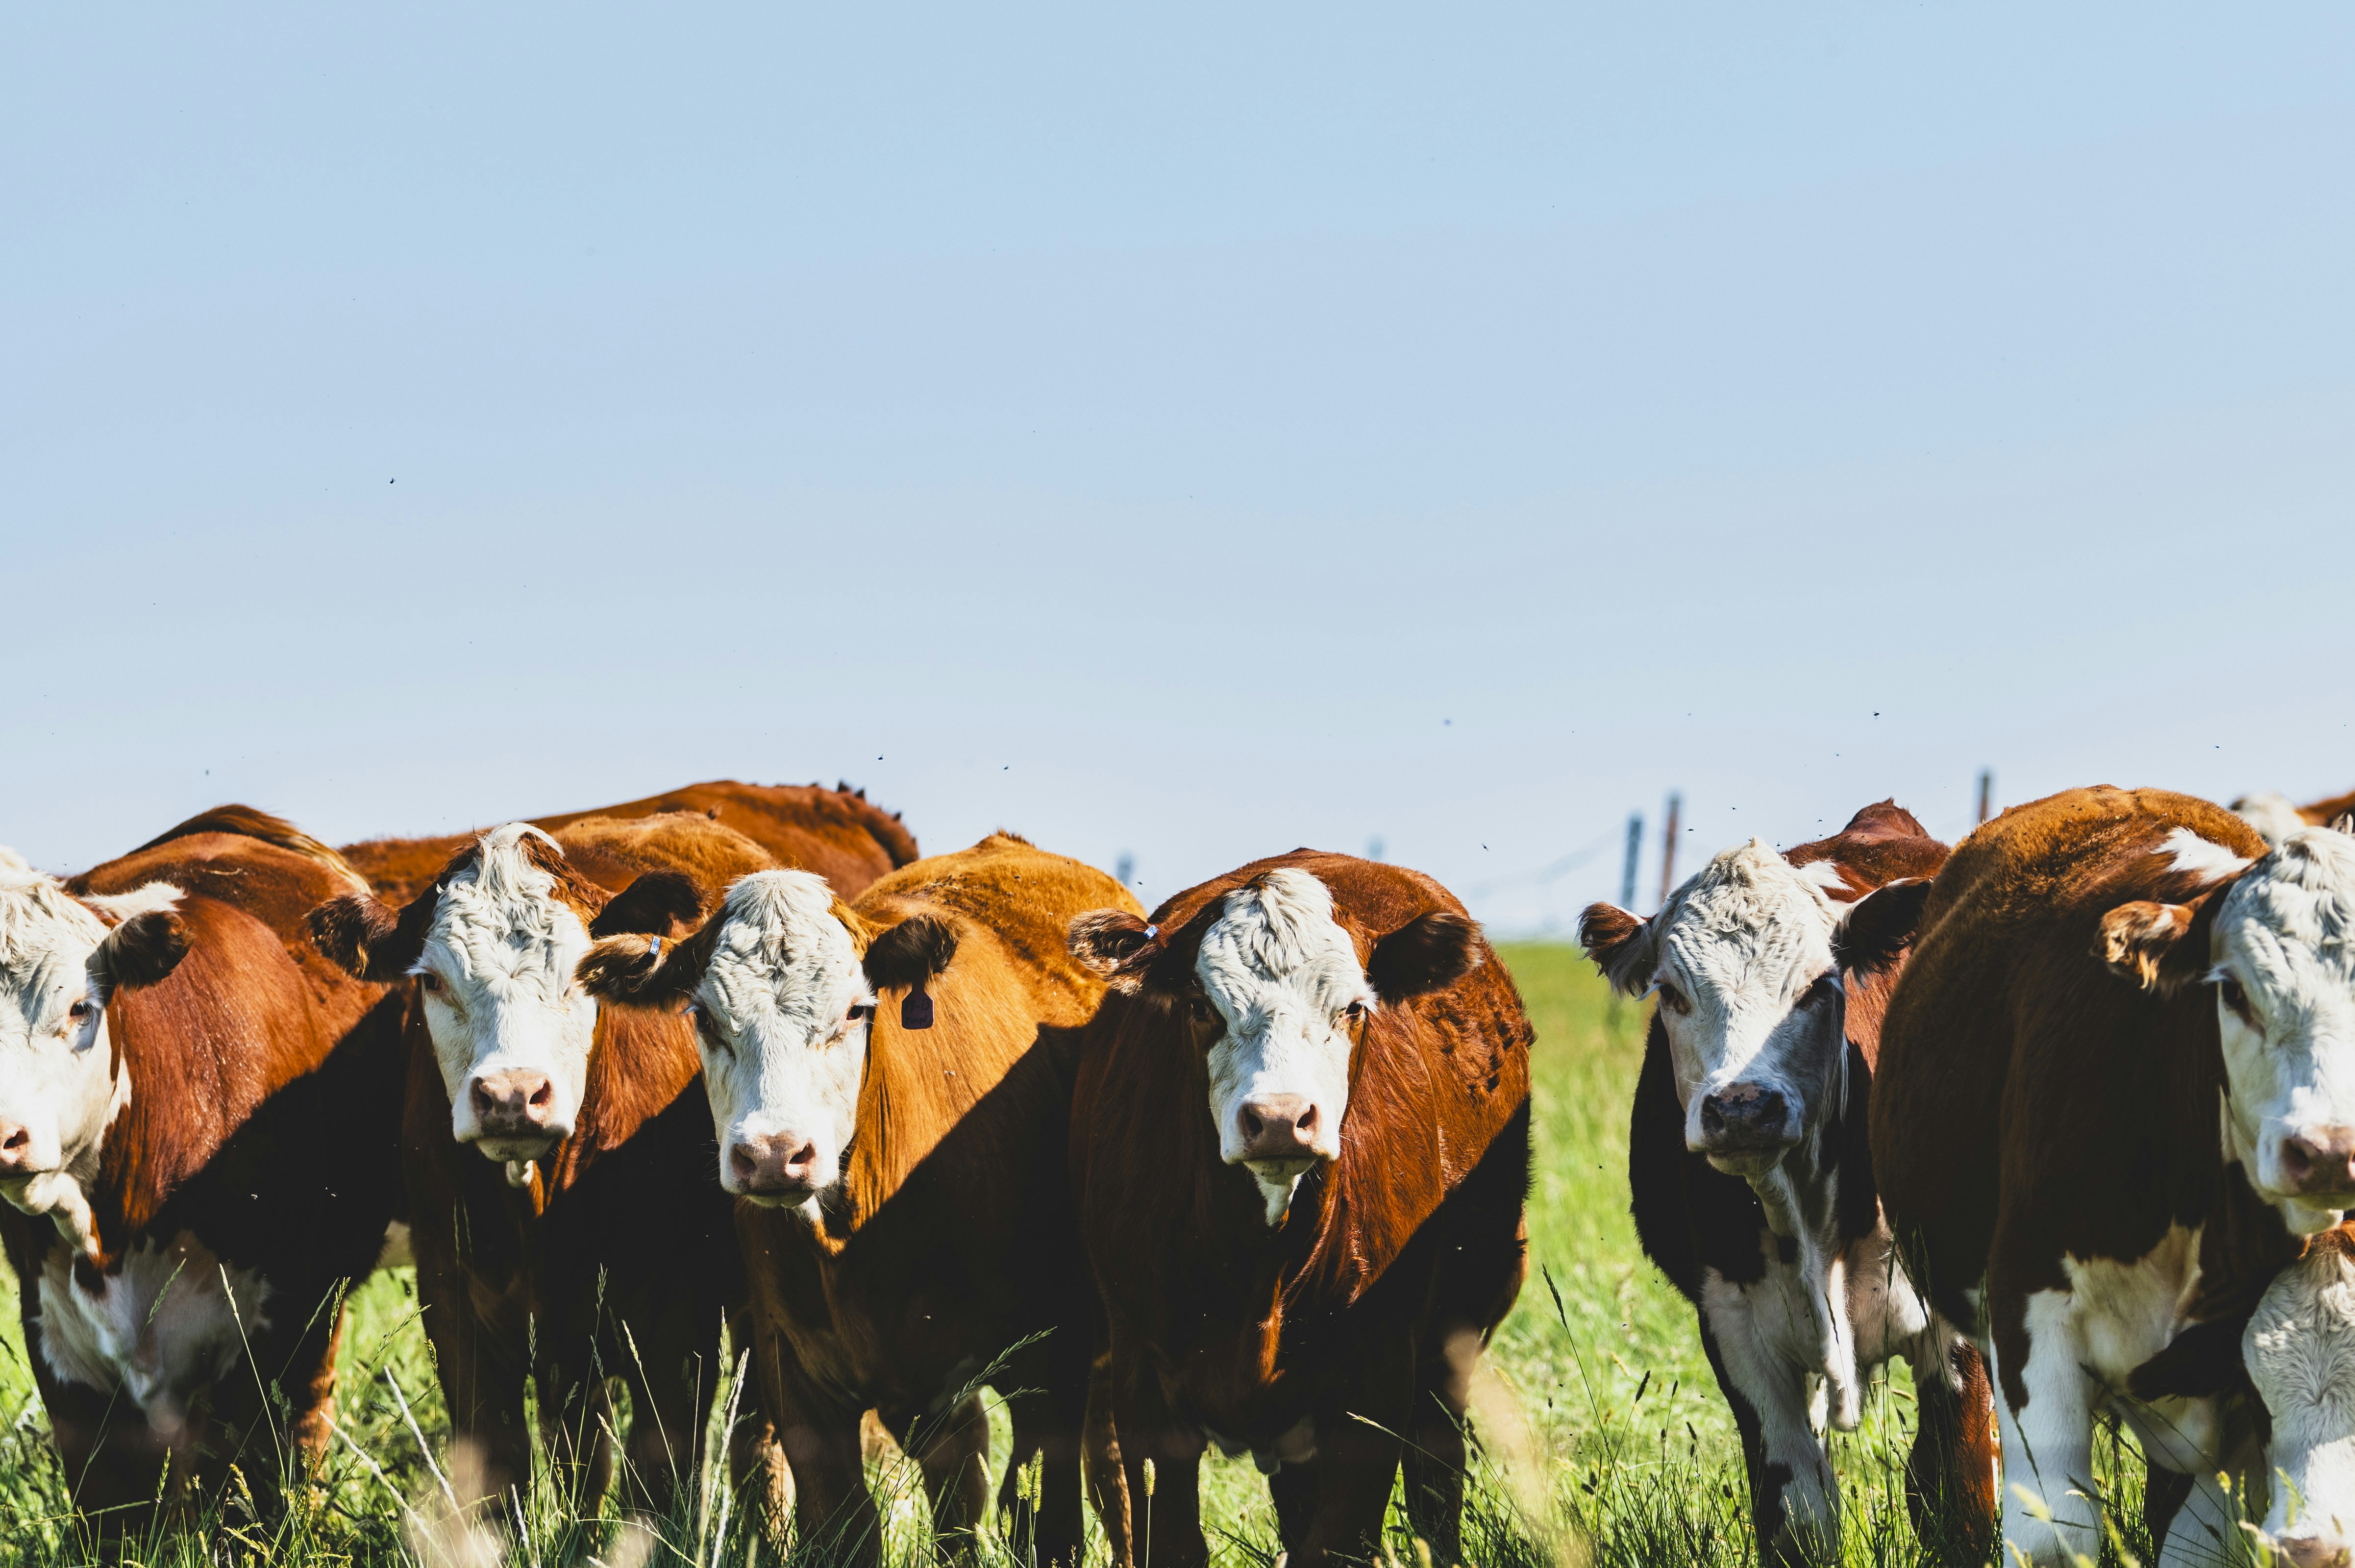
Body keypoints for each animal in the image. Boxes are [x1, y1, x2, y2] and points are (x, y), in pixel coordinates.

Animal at [308, 809, 812, 1521]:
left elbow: (657, 1479)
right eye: (432, 979)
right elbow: (500, 1472)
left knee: (761, 1440)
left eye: (585, 973)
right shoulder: (456, 1303)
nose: (511, 1094)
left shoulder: (676, 1319)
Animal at [575, 832, 1133, 1567]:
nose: (774, 1152)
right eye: (705, 1017)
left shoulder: (1054, 1368)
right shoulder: (799, 1381)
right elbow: (847, 1526)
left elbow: (1051, 1522)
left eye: (854, 1011)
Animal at [1062, 852, 1531, 1568]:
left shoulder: (1376, 1385)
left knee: (1437, 1474)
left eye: (1354, 1007)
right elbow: (1171, 1536)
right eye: (1200, 1005)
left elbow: (1339, 1539)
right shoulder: (1141, 1381)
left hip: (1457, 1333)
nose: (1280, 1118)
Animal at [1577, 801, 1997, 1565]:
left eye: (1818, 986)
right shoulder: (1735, 1327)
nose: (1742, 1106)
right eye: (1671, 992)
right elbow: (1800, 1516)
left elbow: (1958, 1500)